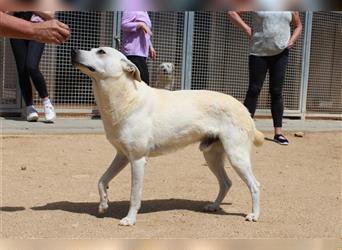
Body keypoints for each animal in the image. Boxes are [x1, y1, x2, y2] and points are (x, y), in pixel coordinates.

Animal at [71, 47, 264, 227]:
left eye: (101, 51)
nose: (73, 50)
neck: (126, 98)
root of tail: (244, 108)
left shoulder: (138, 160)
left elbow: (134, 195)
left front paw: (130, 219)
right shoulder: (122, 156)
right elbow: (101, 180)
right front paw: (103, 204)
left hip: (236, 156)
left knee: (255, 185)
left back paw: (254, 215)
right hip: (212, 156)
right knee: (226, 183)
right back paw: (214, 206)